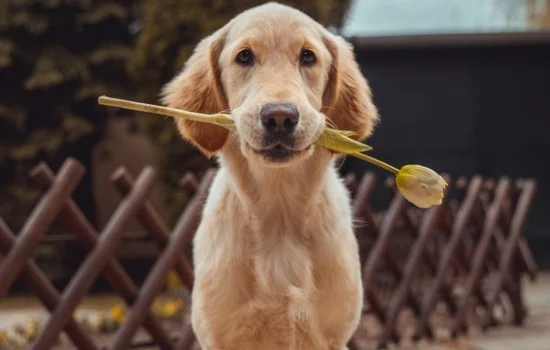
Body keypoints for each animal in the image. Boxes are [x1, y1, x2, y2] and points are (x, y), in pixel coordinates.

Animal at [162, 2, 382, 350]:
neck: (279, 212)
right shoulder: (218, 336)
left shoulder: (334, 336)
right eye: (244, 57)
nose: (280, 117)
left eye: (308, 57)